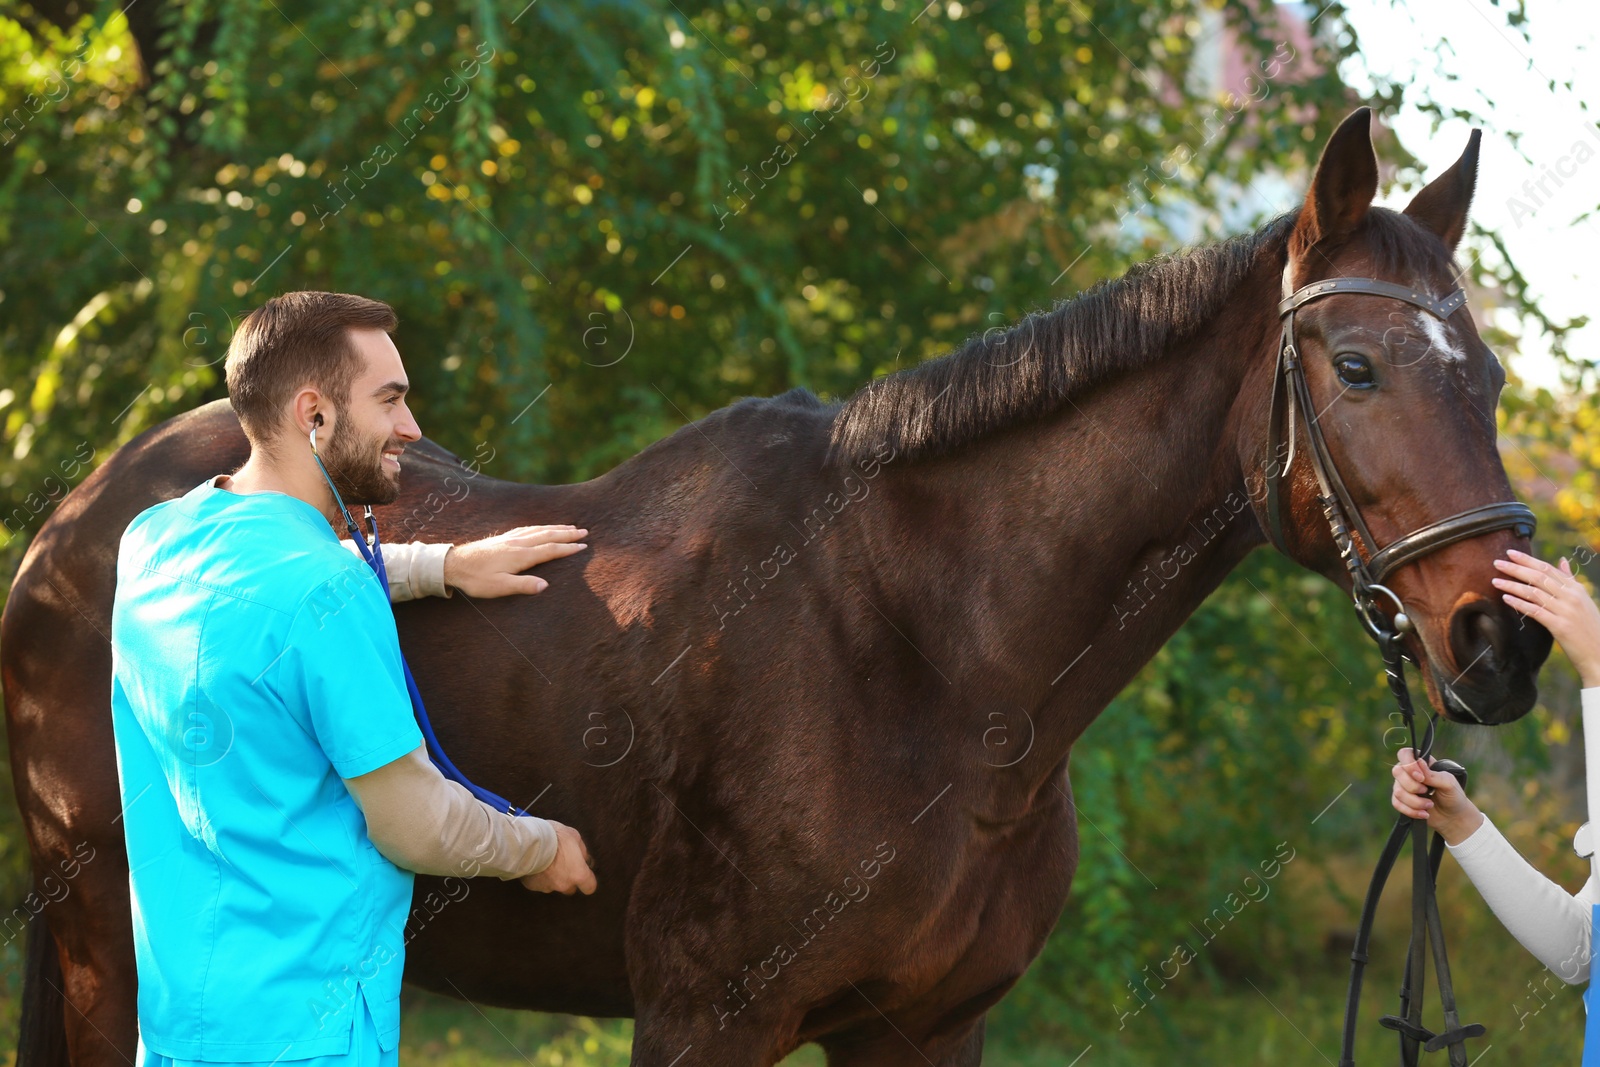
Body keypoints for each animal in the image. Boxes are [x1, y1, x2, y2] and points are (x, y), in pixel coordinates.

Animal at [0, 110, 1548, 1067]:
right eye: (1357, 368)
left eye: (1487, 374)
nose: (1501, 638)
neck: (928, 659)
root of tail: (80, 520)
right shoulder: (704, 1018)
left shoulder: (926, 1028)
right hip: (102, 938)